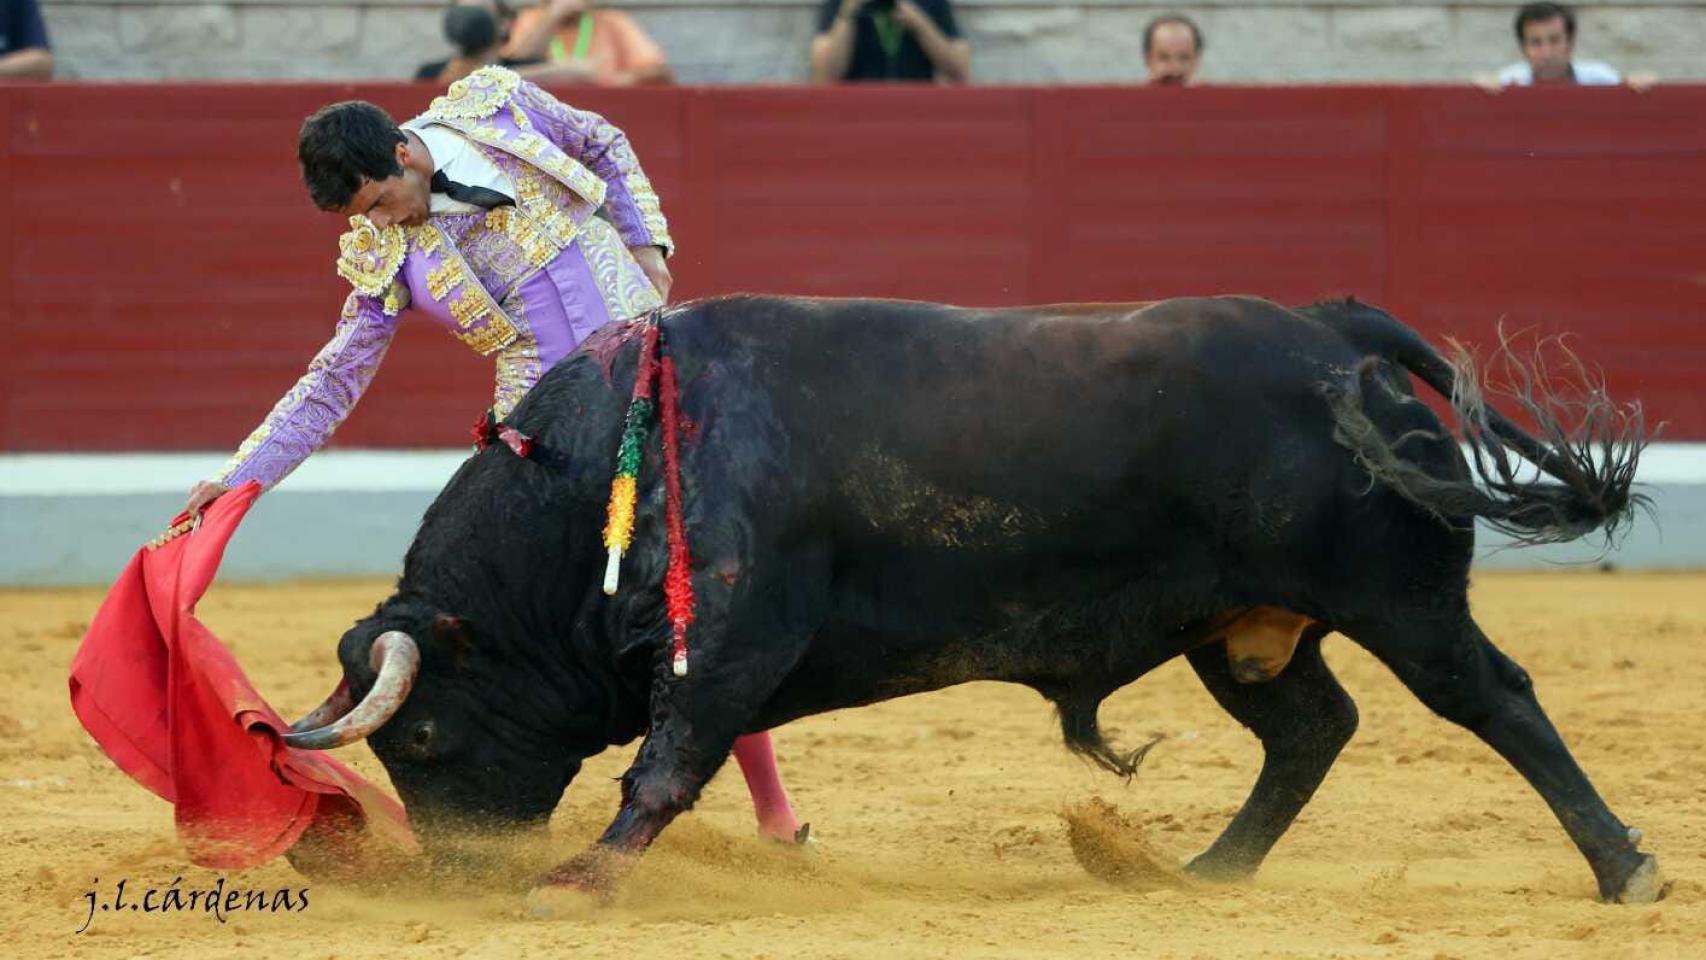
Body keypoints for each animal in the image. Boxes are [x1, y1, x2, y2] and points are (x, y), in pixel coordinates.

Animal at [290, 293, 1651, 900]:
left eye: (421, 733)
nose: (453, 872)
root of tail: (1334, 329)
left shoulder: (727, 640)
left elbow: (666, 764)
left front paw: (580, 881)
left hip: (1398, 602)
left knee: (1494, 700)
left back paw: (1622, 869)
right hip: (1239, 633)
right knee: (1314, 727)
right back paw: (1206, 870)